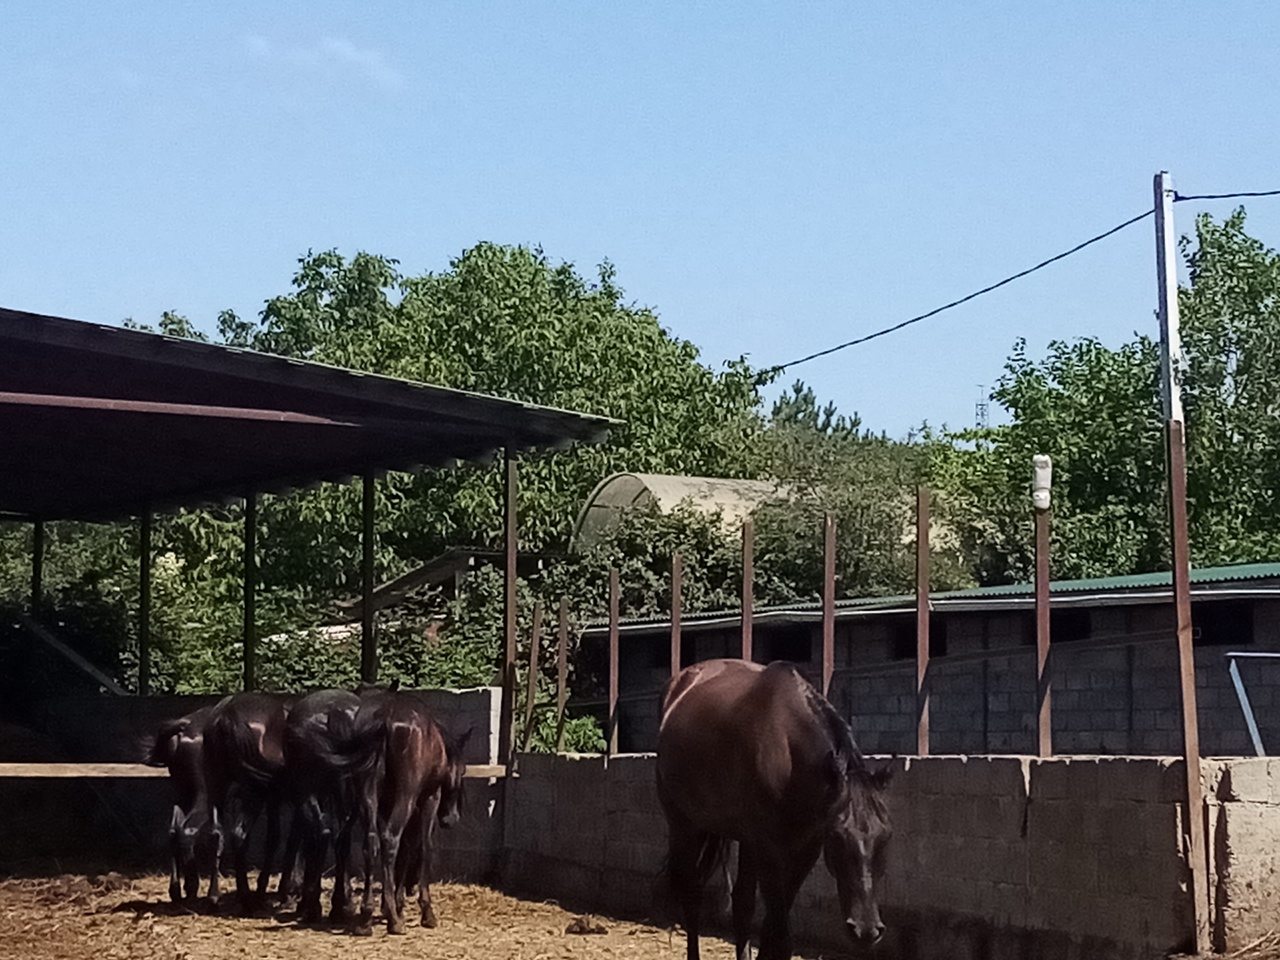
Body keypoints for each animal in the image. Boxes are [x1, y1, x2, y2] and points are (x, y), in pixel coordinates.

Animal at [146, 706, 216, 901]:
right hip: (203, 797)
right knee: (187, 830)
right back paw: (193, 887)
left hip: (184, 795)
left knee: (174, 830)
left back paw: (177, 890)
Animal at [660, 660, 890, 960]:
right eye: (838, 838)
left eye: (885, 838)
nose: (866, 931)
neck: (787, 751)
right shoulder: (769, 849)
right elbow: (780, 938)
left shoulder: (806, 850)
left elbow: (771, 932)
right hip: (684, 825)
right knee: (692, 894)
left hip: (744, 840)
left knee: (742, 904)